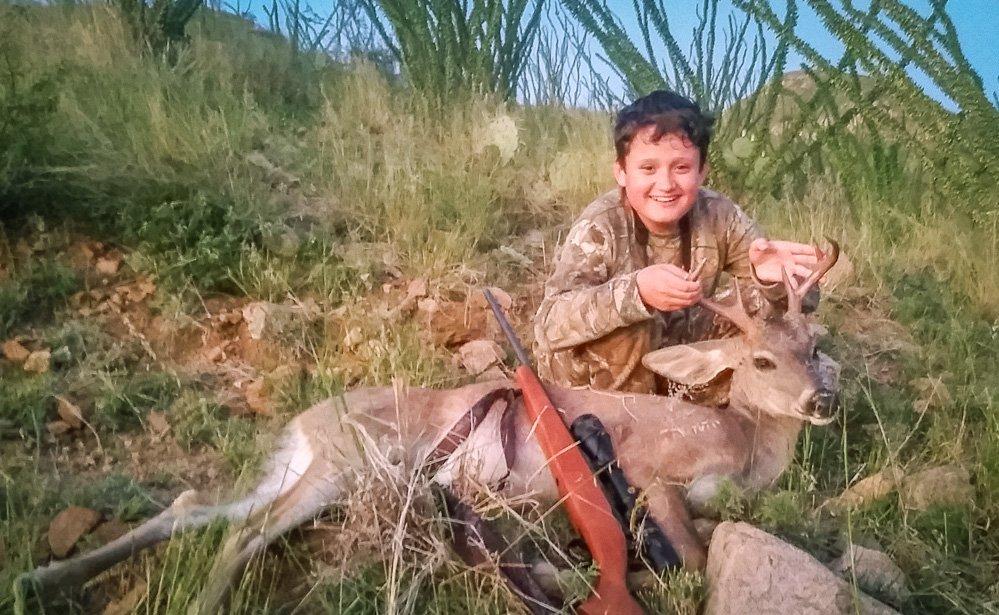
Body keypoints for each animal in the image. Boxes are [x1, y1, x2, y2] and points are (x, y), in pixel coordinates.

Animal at [17, 243, 840, 614]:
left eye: (814, 347)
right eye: (761, 358)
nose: (820, 402)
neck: (740, 446)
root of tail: (305, 419)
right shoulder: (653, 476)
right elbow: (693, 559)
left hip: (303, 467)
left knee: (195, 508)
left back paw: (39, 577)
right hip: (352, 462)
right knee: (241, 531)